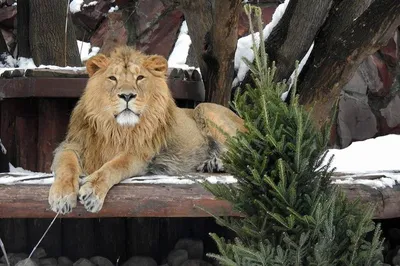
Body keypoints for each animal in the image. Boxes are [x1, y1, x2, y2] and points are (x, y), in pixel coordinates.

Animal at [48, 46, 245, 214]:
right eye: (113, 78)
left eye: (140, 78)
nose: (127, 95)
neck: (116, 129)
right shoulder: (71, 145)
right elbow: (66, 165)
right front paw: (61, 197)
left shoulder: (138, 154)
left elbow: (114, 166)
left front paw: (92, 192)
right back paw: (210, 164)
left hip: (205, 109)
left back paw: (216, 163)